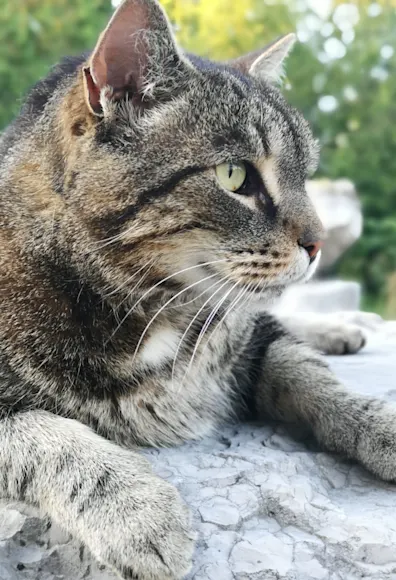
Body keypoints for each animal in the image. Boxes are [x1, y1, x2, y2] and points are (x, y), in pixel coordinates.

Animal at [0, 1, 392, 580]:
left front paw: (381, 424)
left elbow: (314, 379)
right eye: (234, 175)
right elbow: (54, 439)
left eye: (306, 176)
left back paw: (340, 328)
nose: (319, 243)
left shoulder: (249, 339)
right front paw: (139, 511)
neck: (155, 309)